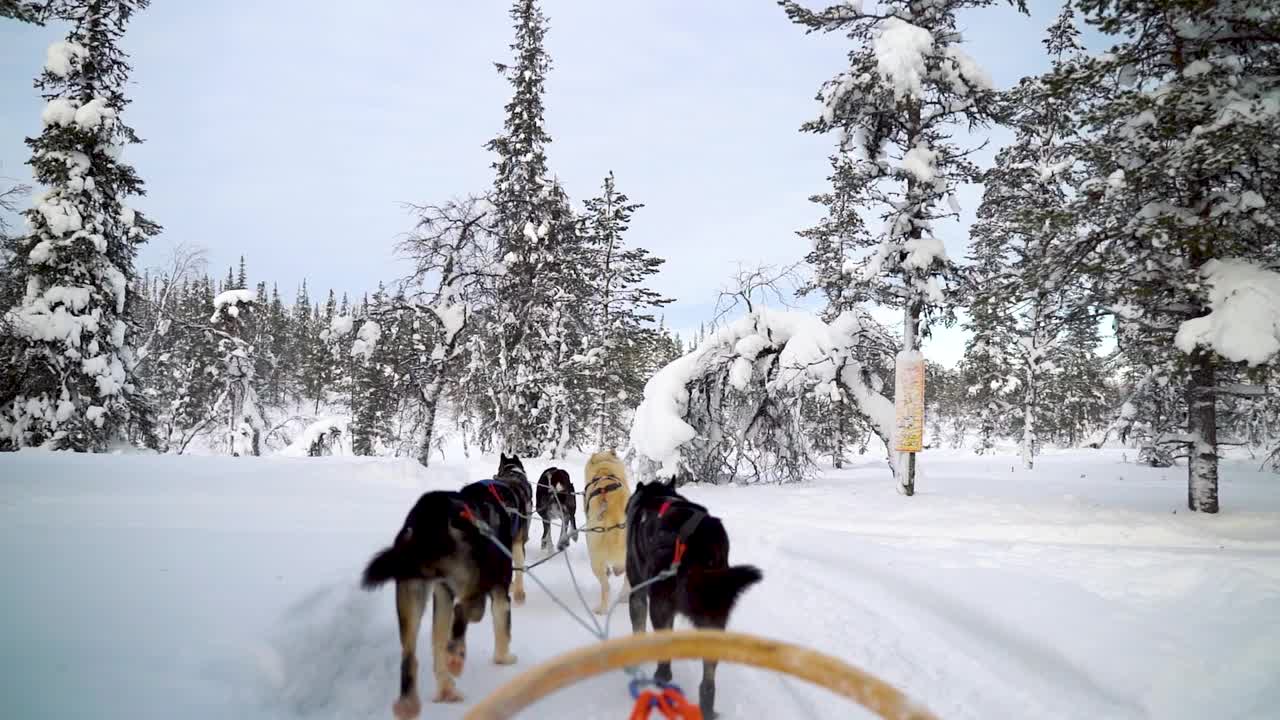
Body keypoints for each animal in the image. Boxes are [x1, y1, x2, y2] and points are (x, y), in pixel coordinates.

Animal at [360, 450, 535, 712]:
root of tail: (433, 513)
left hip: (416, 596)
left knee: (415, 654)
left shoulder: (442, 592)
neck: (510, 479)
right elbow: (504, 626)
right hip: (475, 586)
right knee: (463, 612)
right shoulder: (503, 580)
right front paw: (504, 658)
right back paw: (455, 660)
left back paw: (429, 695)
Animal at [627, 476, 762, 717]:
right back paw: (706, 704)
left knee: (665, 656)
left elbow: (638, 628)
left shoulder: (638, 593)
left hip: (661, 604)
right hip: (714, 612)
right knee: (708, 678)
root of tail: (699, 536)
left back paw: (662, 678)